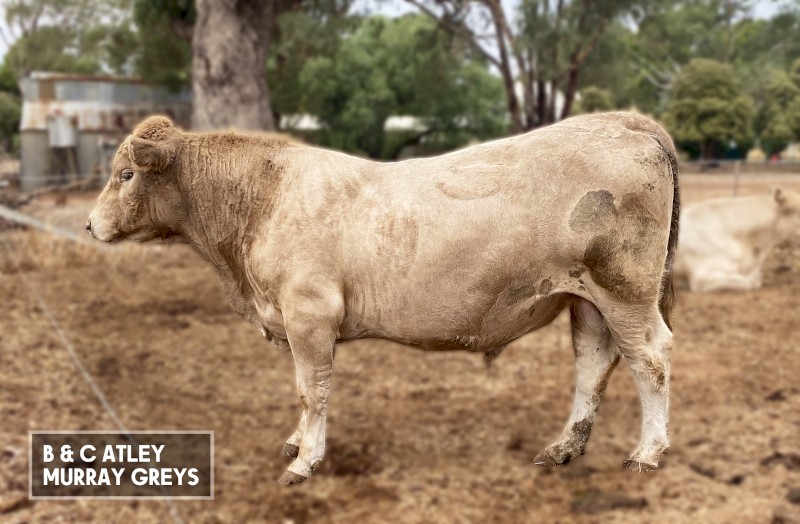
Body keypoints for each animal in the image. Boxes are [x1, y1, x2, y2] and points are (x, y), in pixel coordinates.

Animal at [87, 112, 680, 484]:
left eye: (126, 173)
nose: (90, 224)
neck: (262, 201)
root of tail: (623, 120)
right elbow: (303, 389)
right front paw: (297, 442)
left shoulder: (309, 315)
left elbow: (312, 390)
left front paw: (305, 461)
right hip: (587, 299)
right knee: (593, 363)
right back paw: (565, 447)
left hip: (625, 291)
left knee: (650, 360)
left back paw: (647, 453)